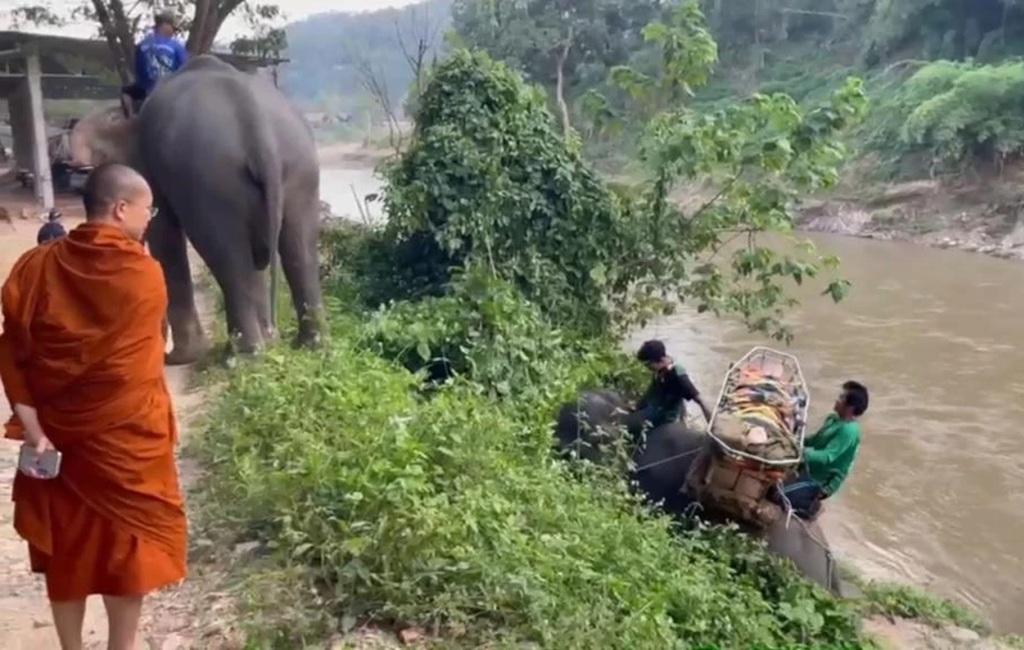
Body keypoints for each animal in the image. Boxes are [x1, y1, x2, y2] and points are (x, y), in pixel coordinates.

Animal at [70, 54, 323, 366]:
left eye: (110, 121)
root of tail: (259, 128)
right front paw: (272, 342)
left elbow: (164, 233)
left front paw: (180, 358)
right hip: (300, 167)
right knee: (299, 248)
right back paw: (307, 346)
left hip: (211, 178)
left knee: (227, 255)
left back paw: (242, 356)